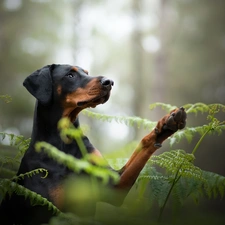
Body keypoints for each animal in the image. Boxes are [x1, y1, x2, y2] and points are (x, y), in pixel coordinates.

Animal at [0, 64, 186, 224]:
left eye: (87, 73)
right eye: (70, 75)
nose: (109, 82)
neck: (64, 144)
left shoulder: (115, 187)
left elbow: (144, 144)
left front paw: (167, 124)